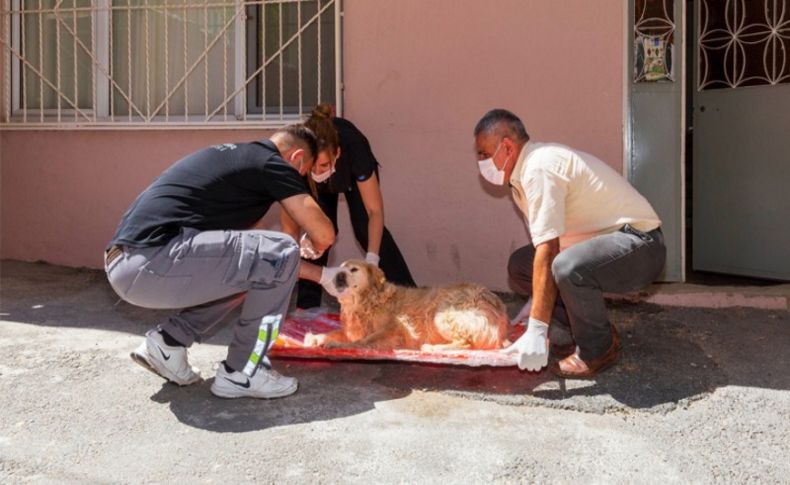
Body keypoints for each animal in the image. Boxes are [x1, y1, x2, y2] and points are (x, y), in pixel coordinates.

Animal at [306, 260, 510, 350]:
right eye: (339, 269)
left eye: (354, 269)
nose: (339, 276)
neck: (366, 302)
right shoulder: (352, 330)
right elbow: (335, 332)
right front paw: (317, 338)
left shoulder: (392, 330)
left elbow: (363, 341)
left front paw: (339, 345)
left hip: (440, 313)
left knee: (466, 342)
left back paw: (432, 348)